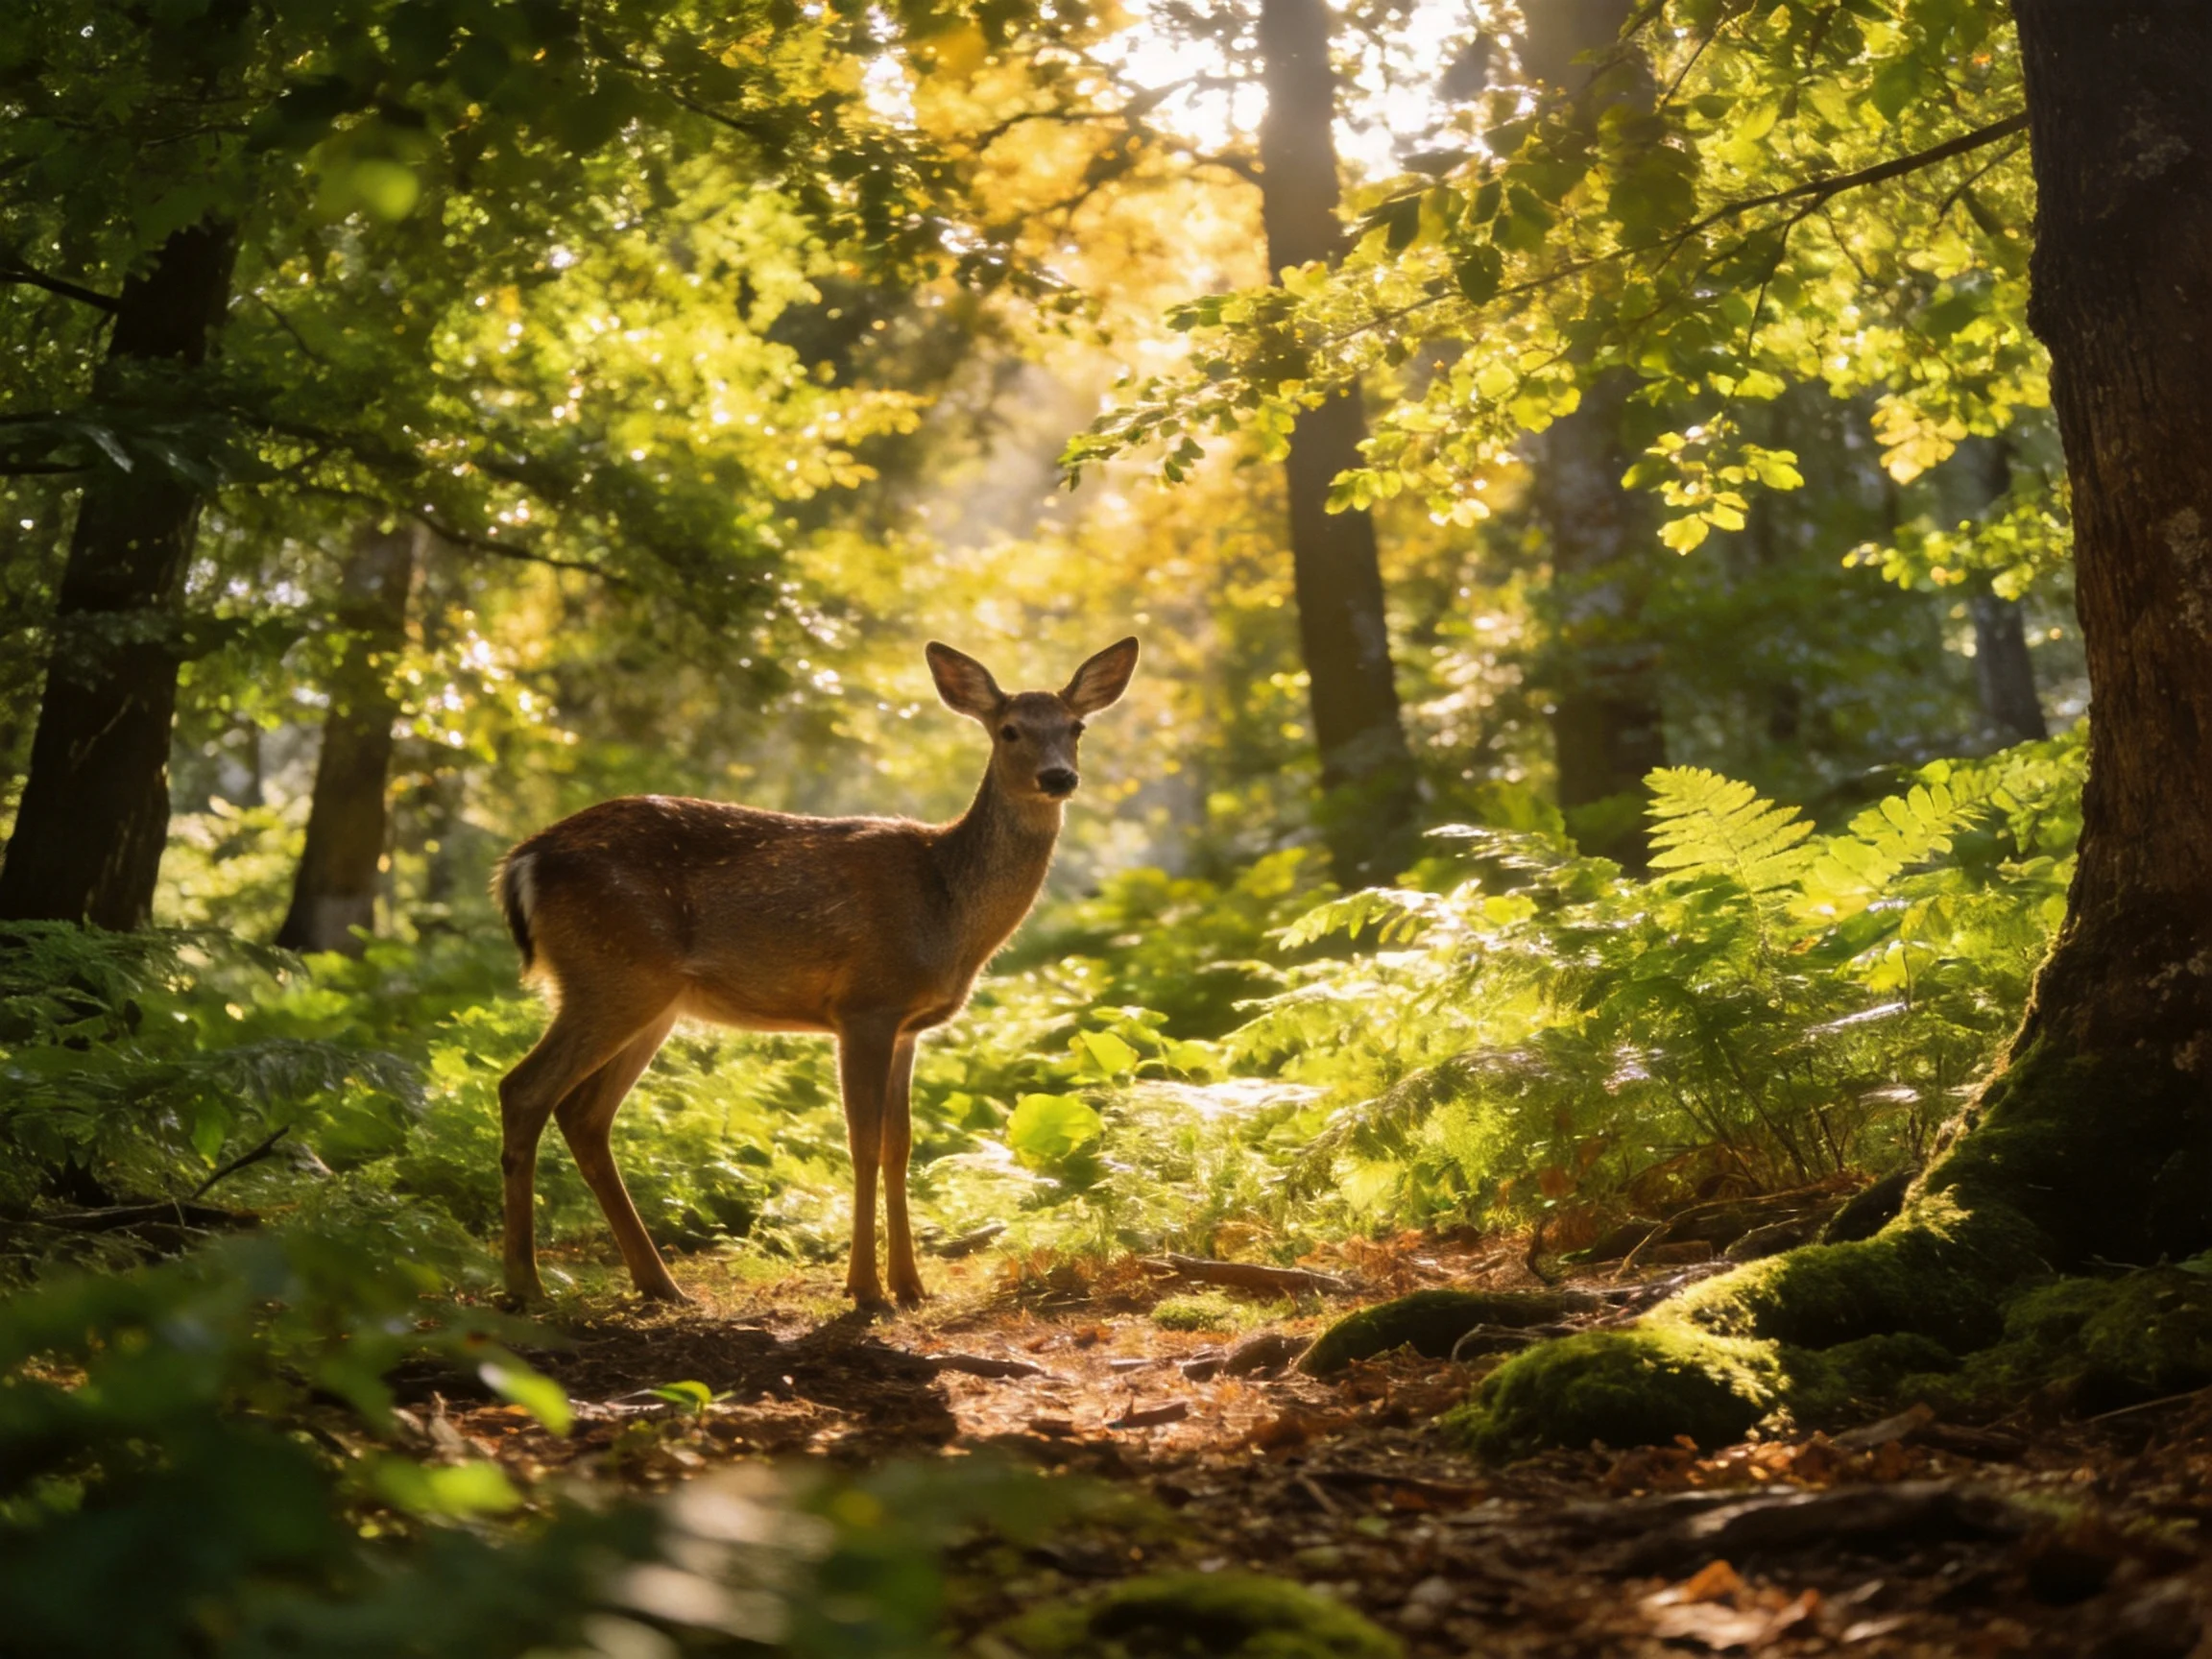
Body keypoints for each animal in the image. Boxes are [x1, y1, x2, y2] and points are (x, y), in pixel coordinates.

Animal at [491, 636, 1140, 1311]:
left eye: (1076, 727)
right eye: (1010, 729)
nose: (1058, 776)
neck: (946, 907)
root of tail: (521, 863)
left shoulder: (909, 1027)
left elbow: (901, 1146)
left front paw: (912, 1285)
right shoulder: (865, 1005)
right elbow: (862, 1142)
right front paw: (865, 1289)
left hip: (646, 997)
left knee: (584, 1113)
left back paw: (659, 1284)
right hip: (612, 972)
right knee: (524, 1090)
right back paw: (526, 1285)